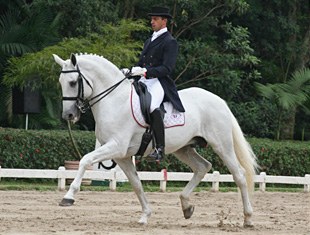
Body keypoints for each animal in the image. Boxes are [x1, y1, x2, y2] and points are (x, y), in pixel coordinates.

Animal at [54, 52, 260, 226]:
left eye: (73, 82)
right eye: (60, 82)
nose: (68, 115)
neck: (114, 99)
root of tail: (219, 100)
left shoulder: (116, 146)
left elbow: (85, 159)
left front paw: (69, 196)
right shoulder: (122, 156)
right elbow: (136, 184)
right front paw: (145, 215)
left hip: (222, 145)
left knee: (239, 175)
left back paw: (248, 218)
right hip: (183, 148)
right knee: (203, 167)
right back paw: (187, 206)